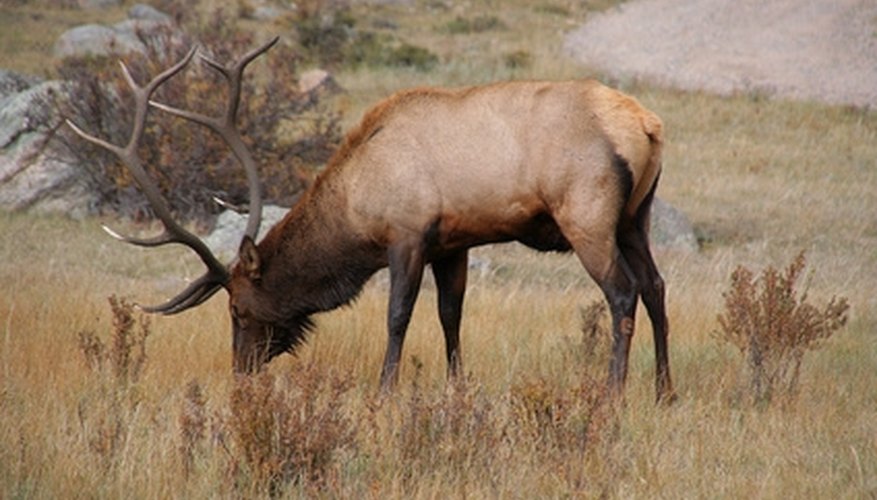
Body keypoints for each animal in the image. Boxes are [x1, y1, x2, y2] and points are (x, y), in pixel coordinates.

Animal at [66, 39, 676, 404]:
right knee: (656, 287)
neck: (356, 206)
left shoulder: (406, 235)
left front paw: (385, 392)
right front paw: (455, 388)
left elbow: (398, 315)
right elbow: (451, 316)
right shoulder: (452, 243)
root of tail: (647, 125)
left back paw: (614, 394)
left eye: (237, 308)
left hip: (587, 215)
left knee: (622, 293)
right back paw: (664, 391)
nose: (240, 374)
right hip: (635, 218)